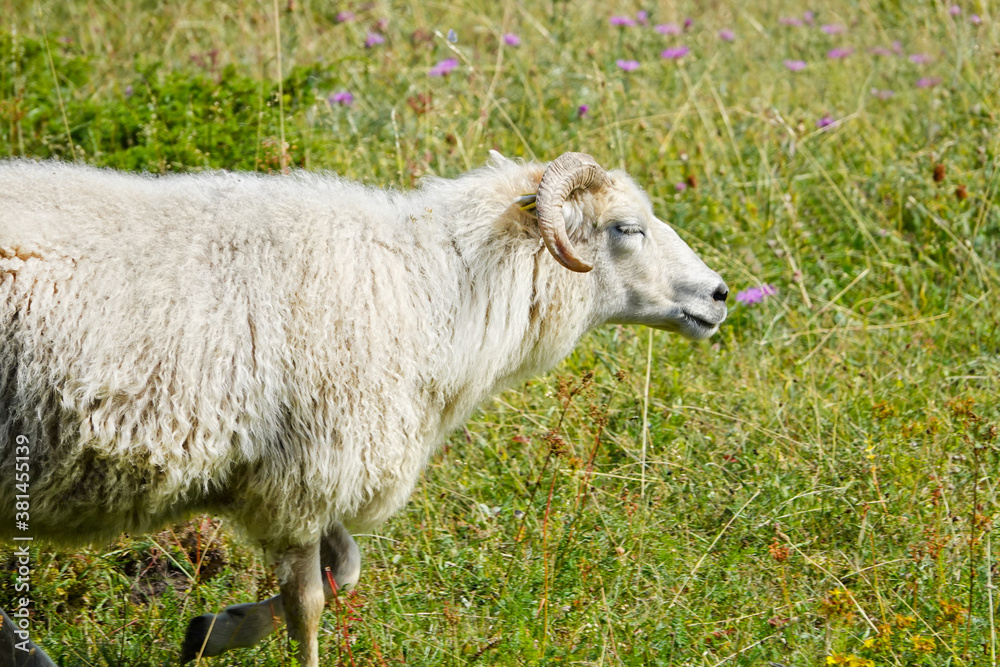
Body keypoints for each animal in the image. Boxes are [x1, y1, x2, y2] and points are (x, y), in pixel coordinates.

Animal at [0, 151, 728, 666]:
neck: (433, 287)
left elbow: (345, 569)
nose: (720, 295)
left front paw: (212, 630)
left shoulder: (305, 475)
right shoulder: (304, 472)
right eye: (625, 229)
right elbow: (311, 602)